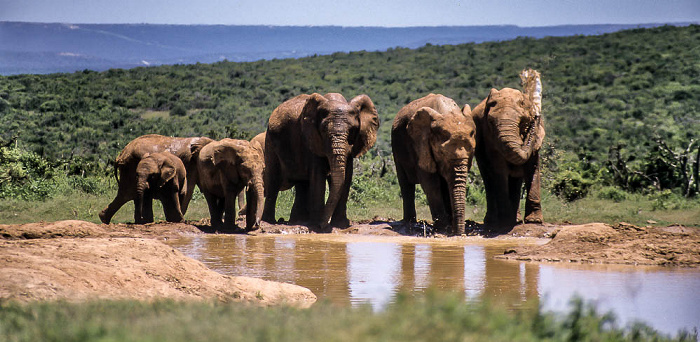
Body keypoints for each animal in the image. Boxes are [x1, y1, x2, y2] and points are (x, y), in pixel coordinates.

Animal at [262, 93, 380, 230]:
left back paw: (298, 220)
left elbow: (347, 176)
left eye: (353, 130)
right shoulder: (311, 138)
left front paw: (340, 225)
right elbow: (318, 176)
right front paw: (317, 225)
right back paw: (269, 222)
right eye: (323, 130)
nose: (324, 225)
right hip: (269, 140)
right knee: (274, 179)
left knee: (302, 183)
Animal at [392, 93, 478, 235]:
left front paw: (449, 227)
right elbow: (431, 184)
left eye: (472, 152)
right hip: (396, 148)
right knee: (405, 184)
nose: (459, 233)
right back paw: (409, 222)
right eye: (441, 153)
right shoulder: (420, 145)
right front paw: (443, 228)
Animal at [470, 68, 548, 230]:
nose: (536, 116)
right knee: (488, 180)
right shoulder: (489, 138)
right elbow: (499, 170)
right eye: (490, 122)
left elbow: (533, 168)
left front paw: (534, 221)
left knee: (515, 181)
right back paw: (494, 221)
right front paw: (505, 222)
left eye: (523, 122)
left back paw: (516, 220)